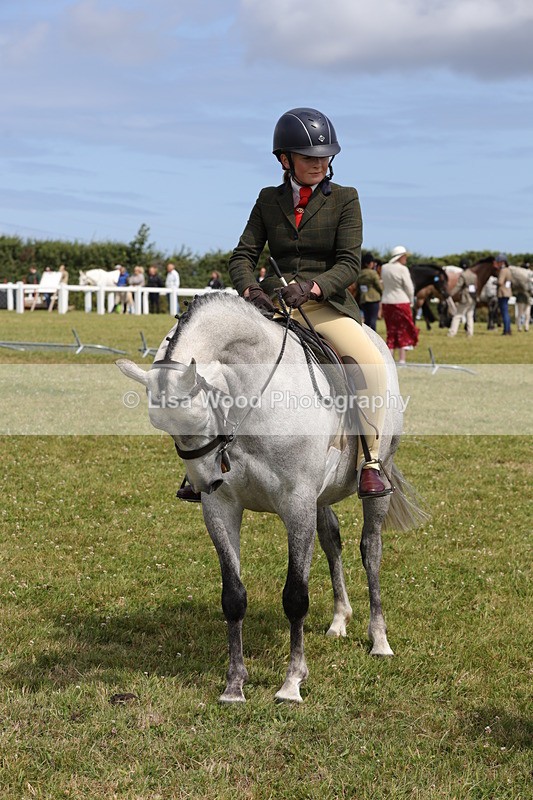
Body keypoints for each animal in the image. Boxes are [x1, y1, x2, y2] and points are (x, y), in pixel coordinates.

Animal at [116, 292, 426, 703]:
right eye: (160, 426)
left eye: (200, 417)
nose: (204, 483)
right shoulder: (222, 509)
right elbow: (233, 597)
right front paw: (234, 685)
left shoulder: (296, 504)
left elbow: (296, 596)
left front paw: (292, 683)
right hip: (319, 499)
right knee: (332, 541)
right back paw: (339, 620)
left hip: (375, 478)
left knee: (370, 550)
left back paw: (379, 640)